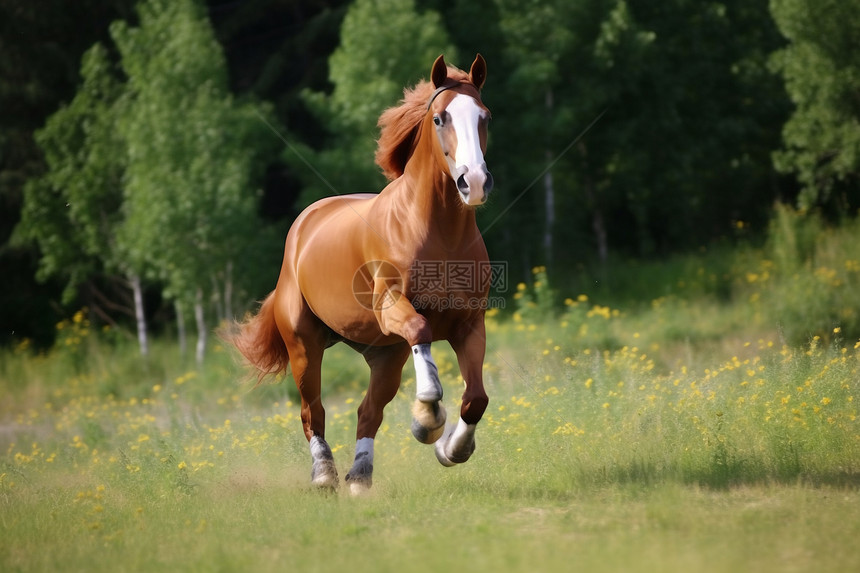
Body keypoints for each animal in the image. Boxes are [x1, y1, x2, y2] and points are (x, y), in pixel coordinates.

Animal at [228, 54, 494, 492]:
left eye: (484, 117)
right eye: (440, 118)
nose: (473, 182)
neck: (439, 234)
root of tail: (304, 225)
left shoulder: (469, 323)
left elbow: (476, 399)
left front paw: (451, 448)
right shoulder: (392, 307)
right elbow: (422, 331)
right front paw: (428, 419)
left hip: (385, 353)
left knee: (368, 410)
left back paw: (359, 476)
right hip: (304, 345)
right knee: (312, 412)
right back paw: (324, 474)